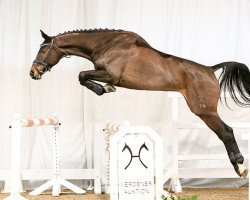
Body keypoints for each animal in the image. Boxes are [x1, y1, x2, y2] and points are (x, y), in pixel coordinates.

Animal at [29, 28, 250, 177]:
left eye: (42, 50)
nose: (33, 73)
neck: (107, 44)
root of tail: (210, 70)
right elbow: (82, 76)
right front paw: (105, 89)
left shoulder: (110, 74)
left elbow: (82, 75)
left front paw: (104, 89)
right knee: (225, 132)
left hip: (205, 111)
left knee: (226, 132)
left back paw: (240, 167)